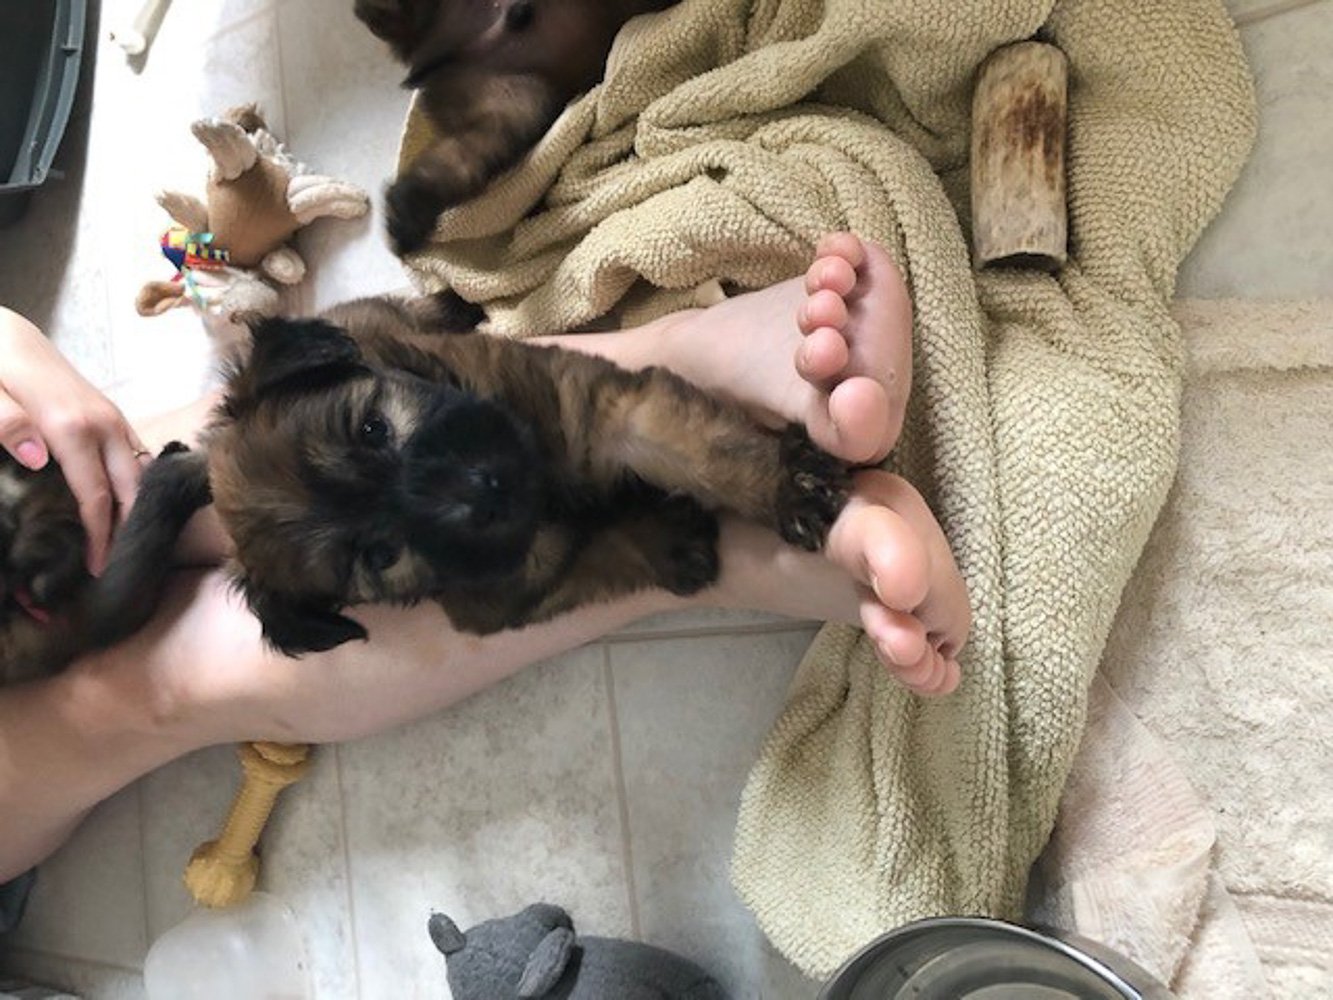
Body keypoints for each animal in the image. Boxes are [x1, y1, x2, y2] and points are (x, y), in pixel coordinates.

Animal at [205, 294, 851, 655]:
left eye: (373, 428)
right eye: (379, 555)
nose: (484, 489)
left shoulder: (608, 413)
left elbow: (707, 450)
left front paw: (788, 488)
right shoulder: (506, 599)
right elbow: (590, 556)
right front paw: (671, 540)